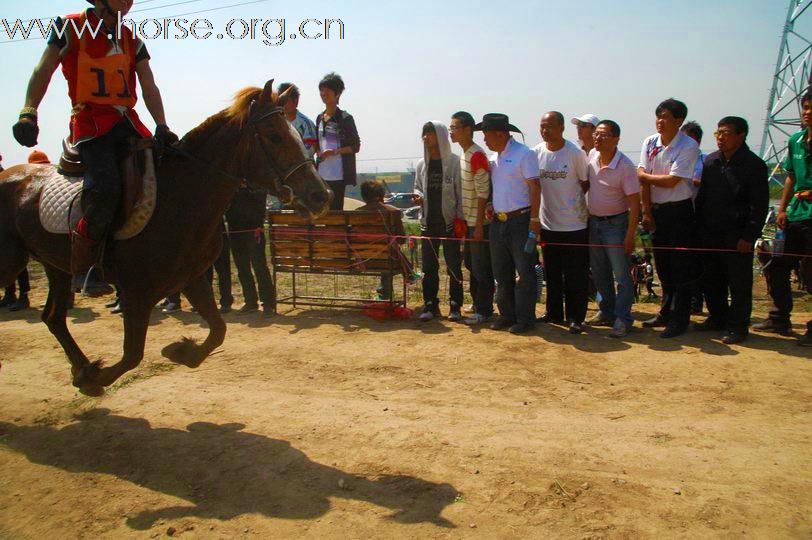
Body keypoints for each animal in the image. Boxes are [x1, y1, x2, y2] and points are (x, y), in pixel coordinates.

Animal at [0, 78, 332, 394]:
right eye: (274, 136)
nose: (320, 196)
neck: (176, 199)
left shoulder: (191, 278)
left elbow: (218, 331)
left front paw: (181, 352)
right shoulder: (137, 290)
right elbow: (133, 353)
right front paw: (96, 377)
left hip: (56, 267)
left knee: (54, 317)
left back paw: (80, 365)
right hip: (17, 263)